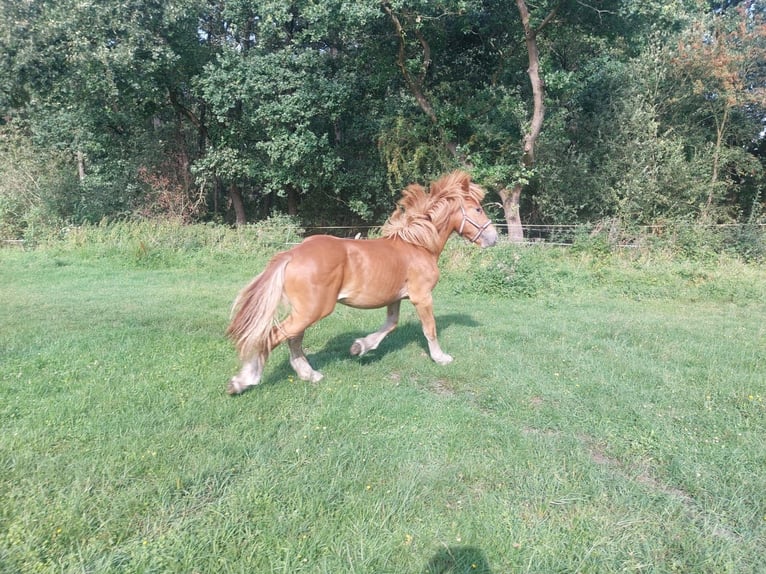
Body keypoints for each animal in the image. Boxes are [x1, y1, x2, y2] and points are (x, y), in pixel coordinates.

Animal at [225, 171, 500, 396]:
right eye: (477, 209)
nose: (493, 238)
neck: (418, 245)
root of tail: (292, 254)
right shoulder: (422, 297)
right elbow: (429, 329)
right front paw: (441, 358)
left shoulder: (395, 298)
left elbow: (390, 325)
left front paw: (360, 347)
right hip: (313, 310)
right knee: (271, 337)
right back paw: (243, 381)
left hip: (304, 311)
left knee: (292, 338)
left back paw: (309, 374)